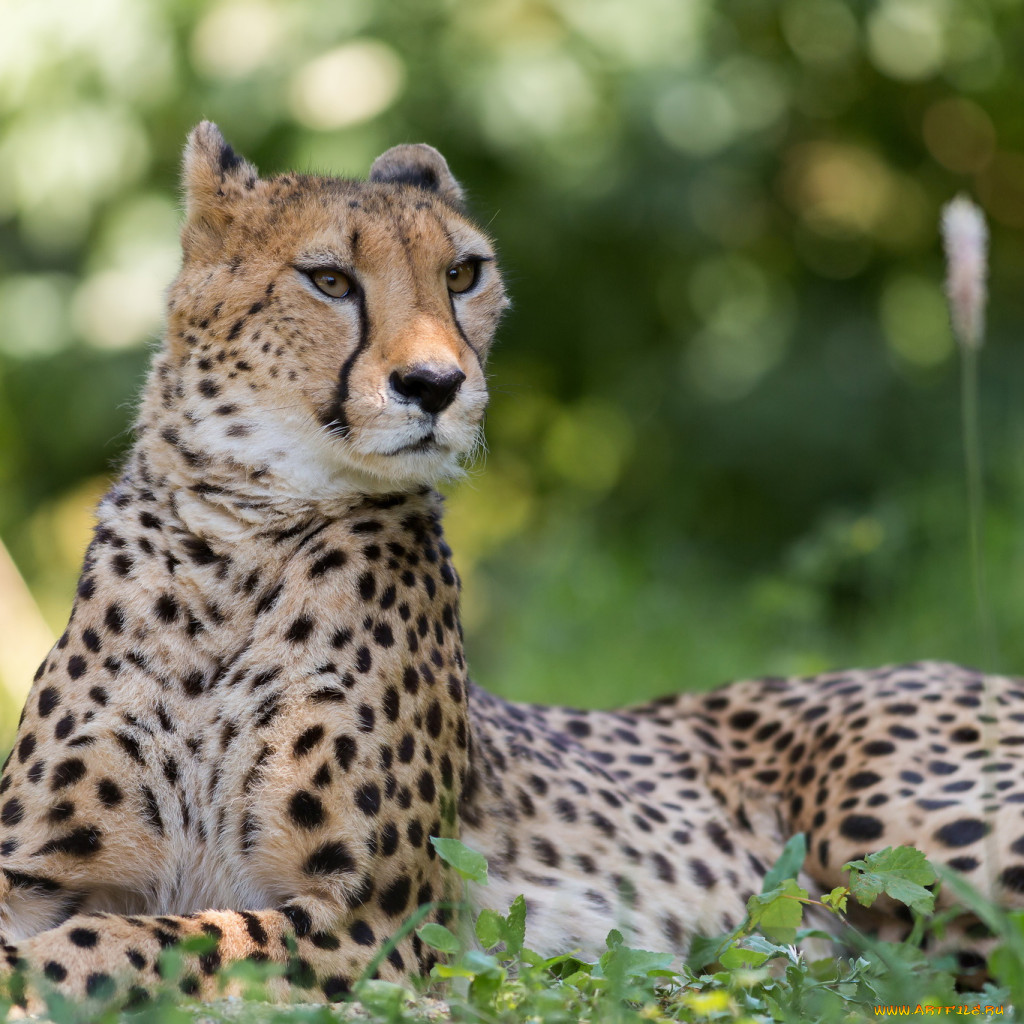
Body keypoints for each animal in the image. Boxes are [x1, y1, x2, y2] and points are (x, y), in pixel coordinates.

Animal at [0, 121, 1019, 1007]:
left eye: (463, 273)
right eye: (329, 279)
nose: (436, 386)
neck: (240, 541)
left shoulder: (376, 921)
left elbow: (132, 939)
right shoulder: (32, 870)